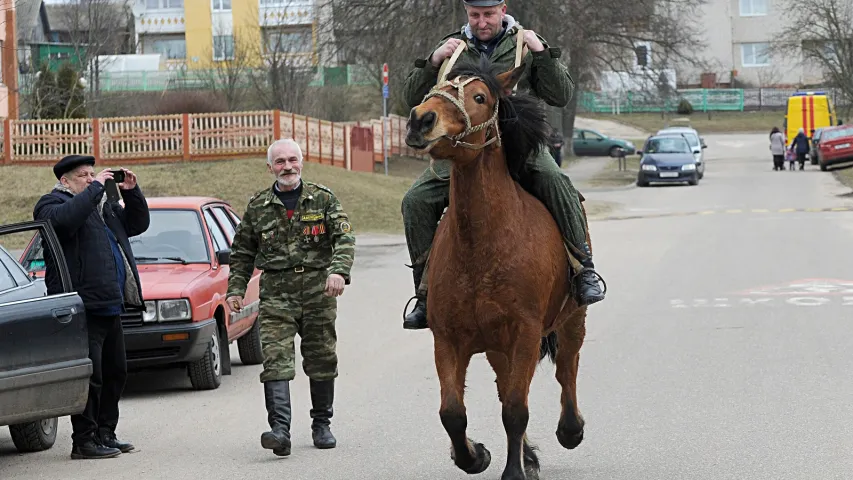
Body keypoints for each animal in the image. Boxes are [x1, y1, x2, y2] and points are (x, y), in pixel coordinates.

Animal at [404, 56, 588, 476]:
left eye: (480, 97)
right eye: (432, 89)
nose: (420, 119)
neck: (481, 248)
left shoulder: (525, 333)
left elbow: (516, 410)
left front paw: (513, 470)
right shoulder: (448, 339)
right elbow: (453, 412)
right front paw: (475, 456)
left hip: (572, 318)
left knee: (566, 368)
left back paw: (570, 429)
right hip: (497, 348)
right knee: (506, 387)